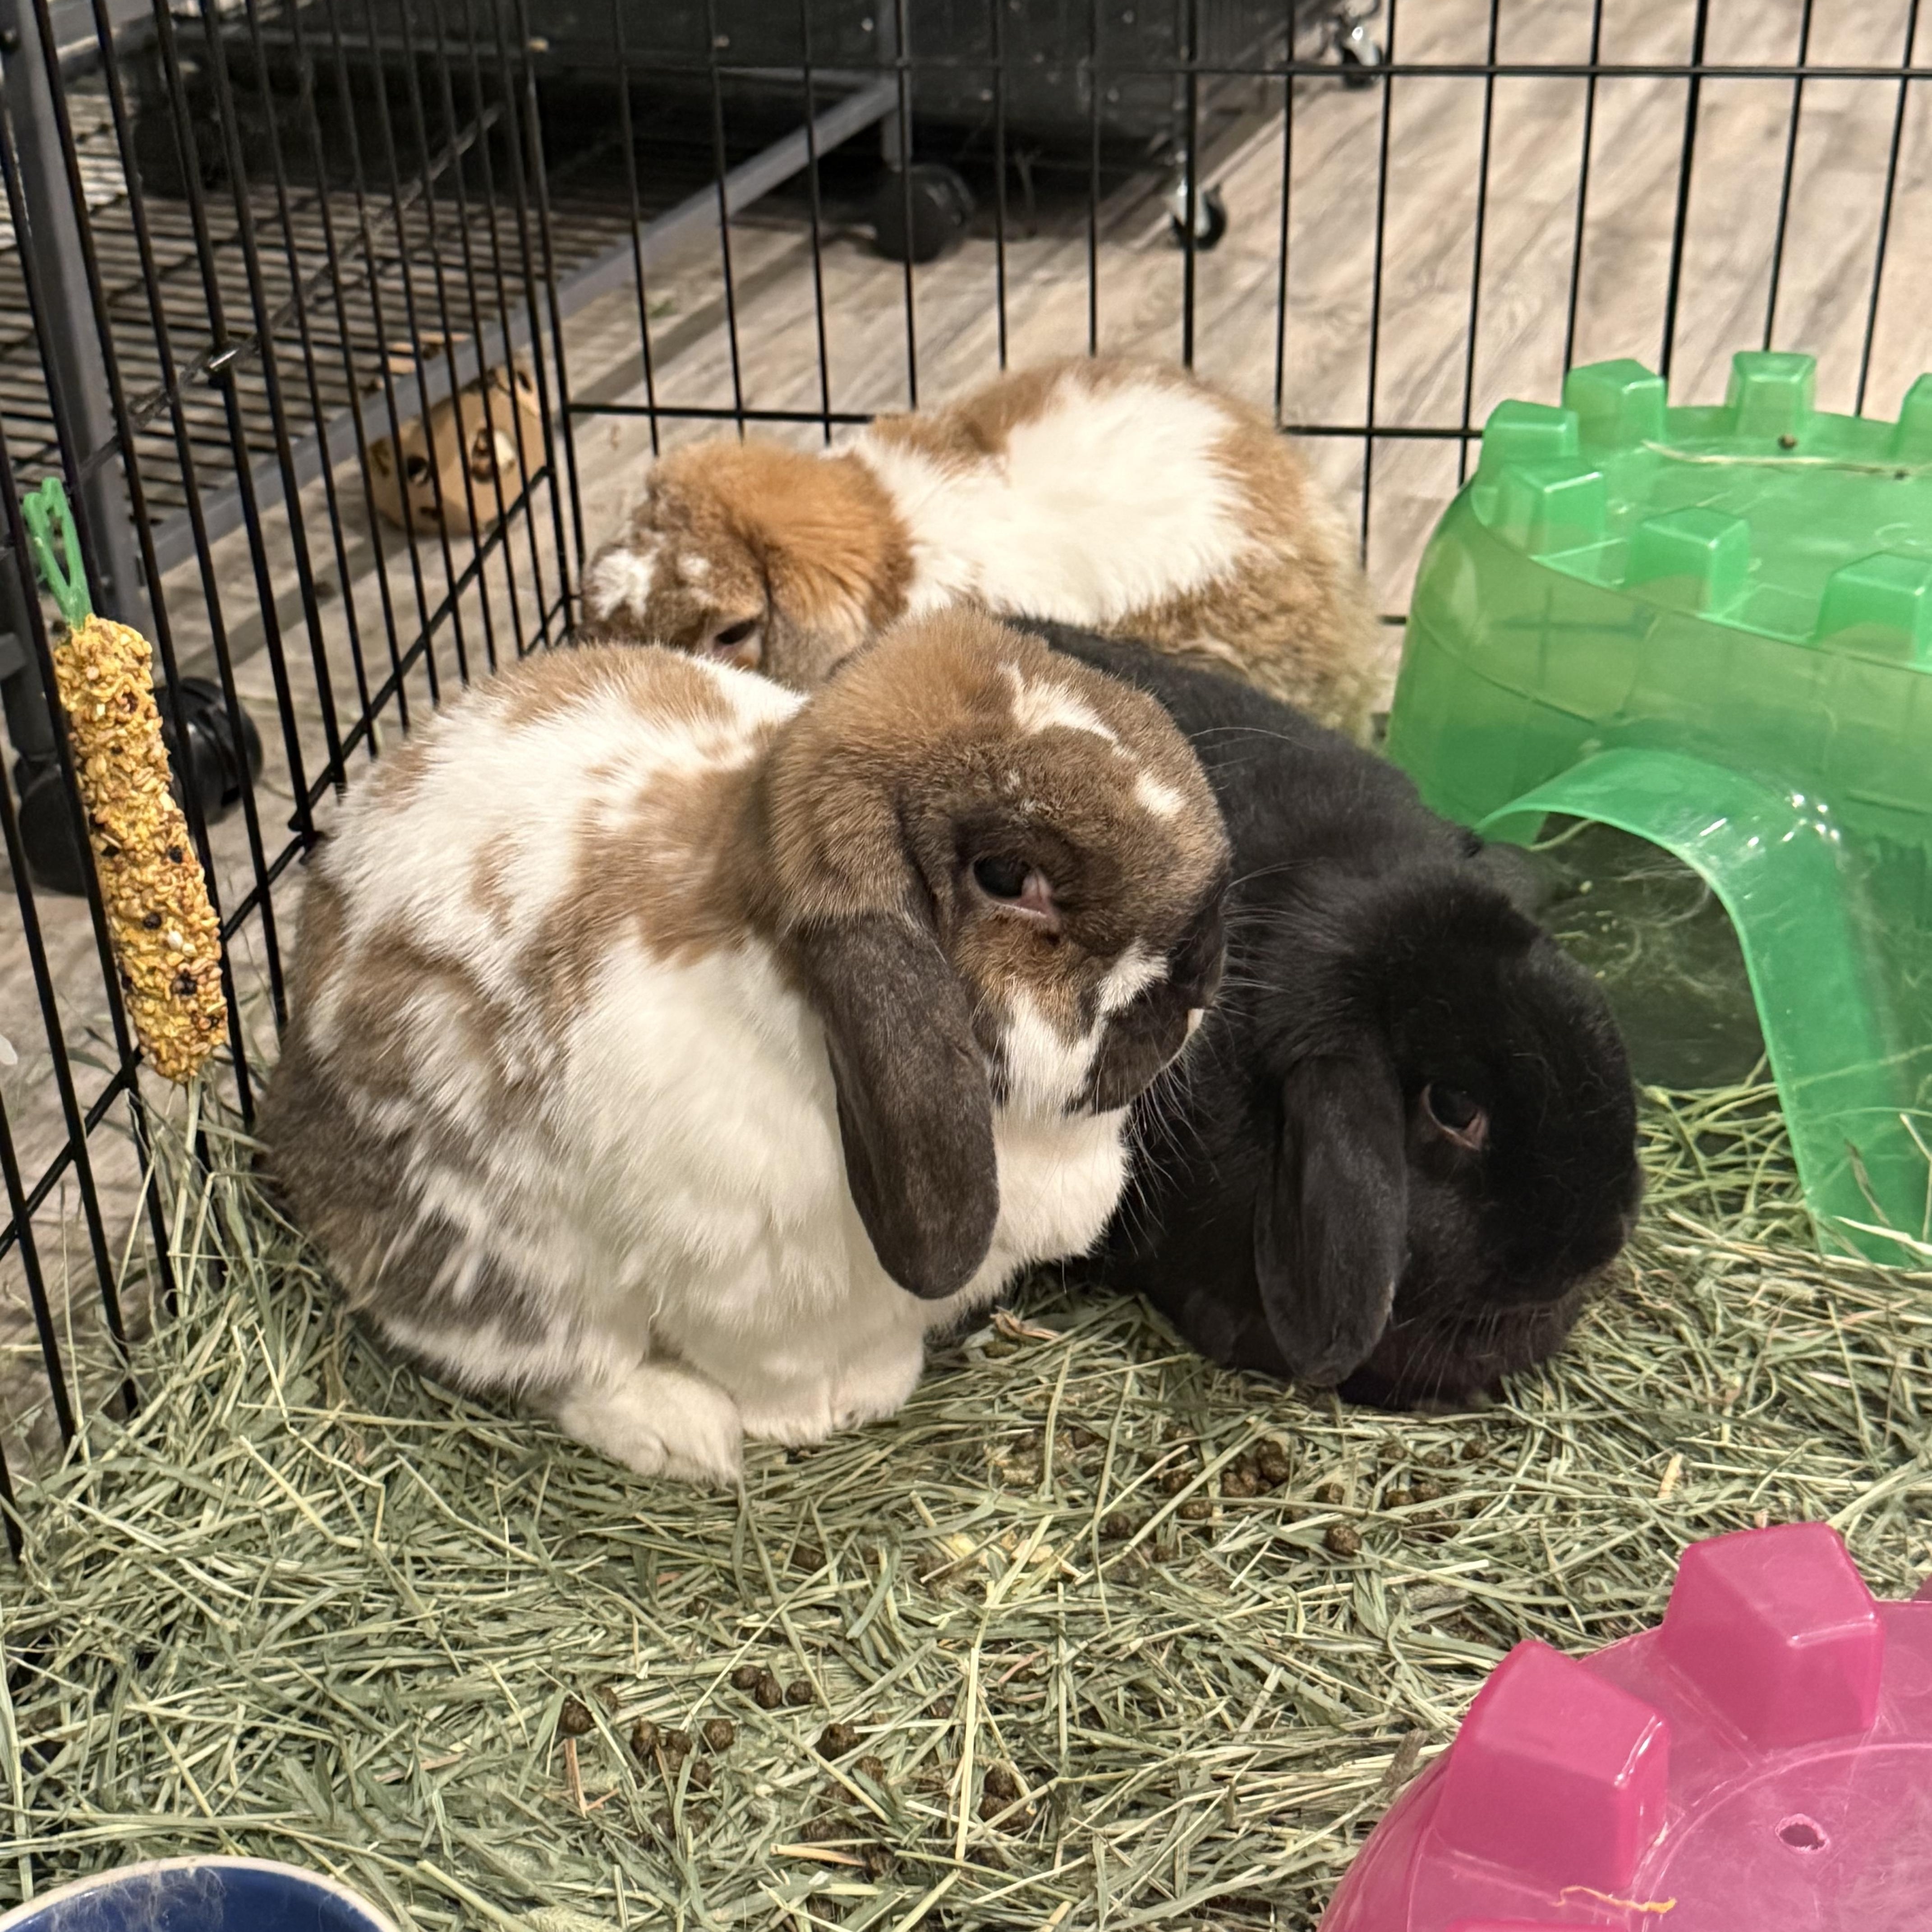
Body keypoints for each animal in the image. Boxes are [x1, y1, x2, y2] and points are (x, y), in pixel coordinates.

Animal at [259, 611, 1230, 1483]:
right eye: (1005, 877)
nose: (1198, 977)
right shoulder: (740, 1293)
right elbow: (763, 1369)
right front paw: (798, 1423)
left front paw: (874, 1392)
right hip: (487, 1251)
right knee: (557, 1356)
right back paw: (680, 1432)